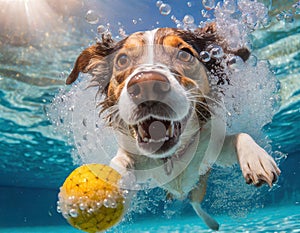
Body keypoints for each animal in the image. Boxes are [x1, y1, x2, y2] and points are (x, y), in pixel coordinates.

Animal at [65, 22, 282, 230]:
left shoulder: (211, 150)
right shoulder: (134, 158)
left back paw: (212, 223)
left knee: (195, 202)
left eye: (184, 54)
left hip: (199, 185)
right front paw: (111, 190)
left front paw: (256, 159)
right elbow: (120, 163)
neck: (169, 158)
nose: (146, 85)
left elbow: (240, 136)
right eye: (122, 60)